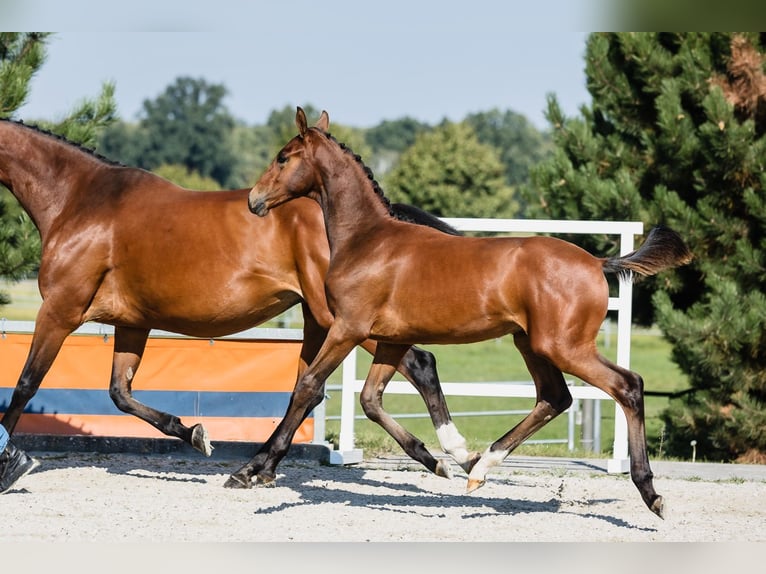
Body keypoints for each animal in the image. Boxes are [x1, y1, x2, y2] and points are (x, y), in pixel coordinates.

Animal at [0, 119, 476, 488]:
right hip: (322, 322)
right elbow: (120, 393)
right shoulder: (132, 322)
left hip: (345, 323)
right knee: (313, 388)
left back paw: (451, 457)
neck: (80, 200)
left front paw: (10, 464)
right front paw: (195, 433)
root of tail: (380, 221)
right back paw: (261, 467)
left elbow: (25, 384)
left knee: (415, 366)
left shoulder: (59, 311)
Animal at [246, 106, 696, 520]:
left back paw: (650, 493)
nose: (254, 200)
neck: (368, 239)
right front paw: (443, 460)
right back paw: (481, 468)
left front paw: (254, 469)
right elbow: (371, 400)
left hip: (565, 347)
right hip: (530, 343)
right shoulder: (391, 339)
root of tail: (597, 262)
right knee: (555, 396)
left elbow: (309, 385)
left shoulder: (348, 329)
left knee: (627, 386)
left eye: (283, 157)